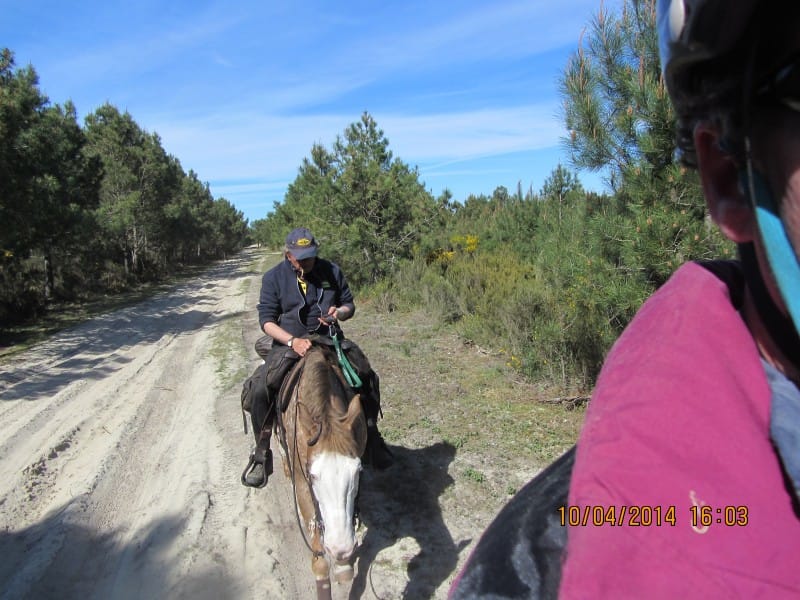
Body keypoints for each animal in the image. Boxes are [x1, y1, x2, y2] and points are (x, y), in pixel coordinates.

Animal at [276, 342, 368, 600]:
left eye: (359, 471)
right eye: (312, 476)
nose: (341, 547)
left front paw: (344, 566)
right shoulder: (302, 484)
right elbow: (318, 551)